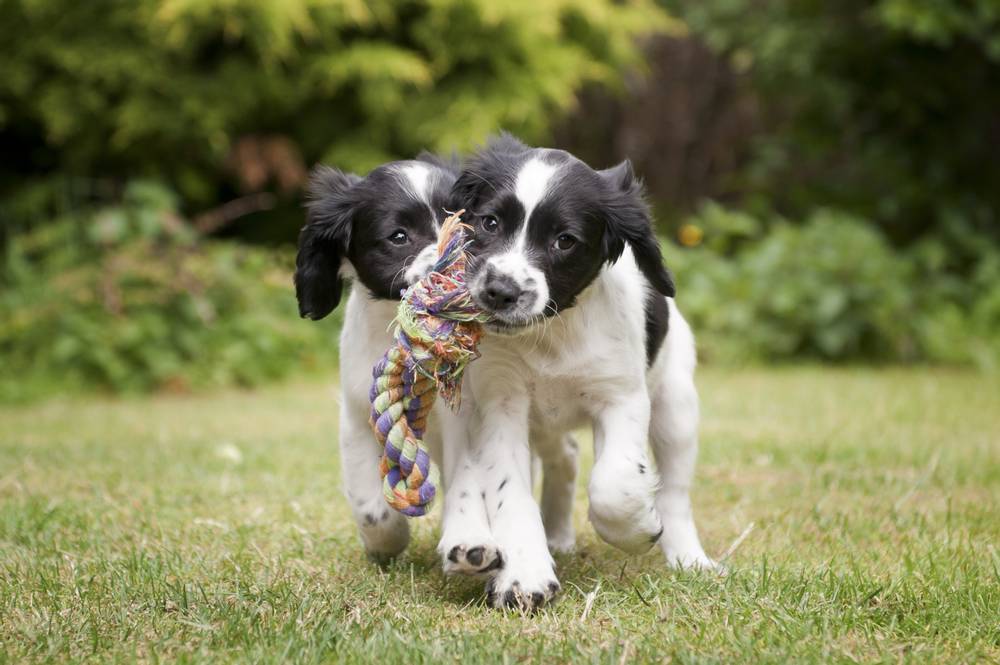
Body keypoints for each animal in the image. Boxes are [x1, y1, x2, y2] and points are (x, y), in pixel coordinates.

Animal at [442, 136, 716, 612]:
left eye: (565, 241)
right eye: (489, 222)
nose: (500, 292)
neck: (552, 333)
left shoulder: (621, 397)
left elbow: (614, 484)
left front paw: (638, 528)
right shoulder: (500, 403)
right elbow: (510, 492)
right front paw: (525, 576)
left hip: (676, 407)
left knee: (676, 492)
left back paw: (689, 558)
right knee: (565, 457)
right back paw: (557, 537)